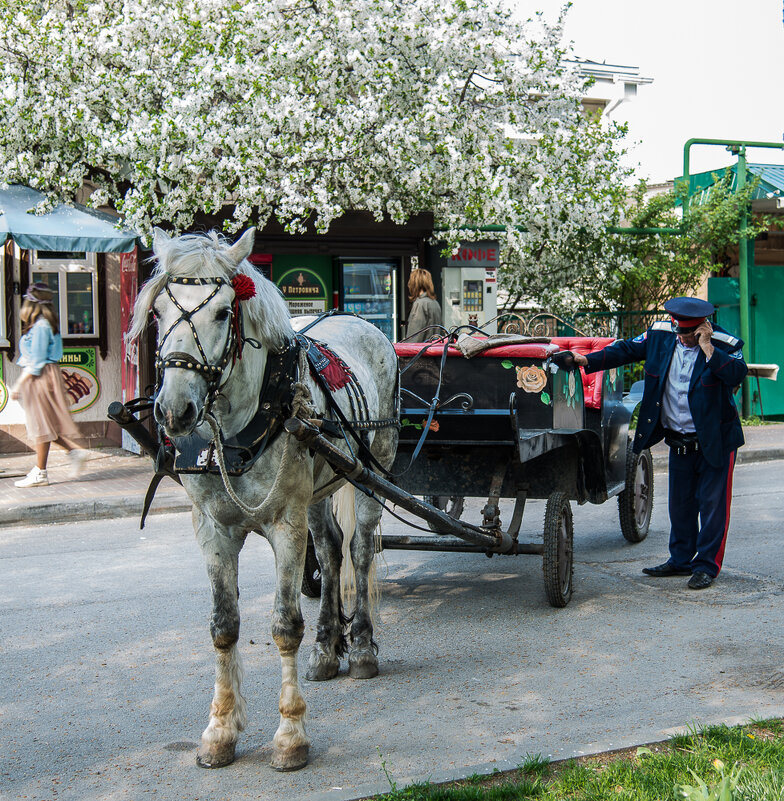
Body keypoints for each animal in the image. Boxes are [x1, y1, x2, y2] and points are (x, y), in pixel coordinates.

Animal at [130, 230, 398, 768]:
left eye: (221, 313)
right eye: (158, 314)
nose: (173, 409)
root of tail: (360, 319)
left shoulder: (285, 525)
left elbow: (284, 625)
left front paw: (290, 734)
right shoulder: (212, 528)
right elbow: (224, 626)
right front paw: (220, 730)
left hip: (370, 470)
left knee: (359, 551)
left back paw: (360, 647)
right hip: (320, 487)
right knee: (331, 552)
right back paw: (326, 649)